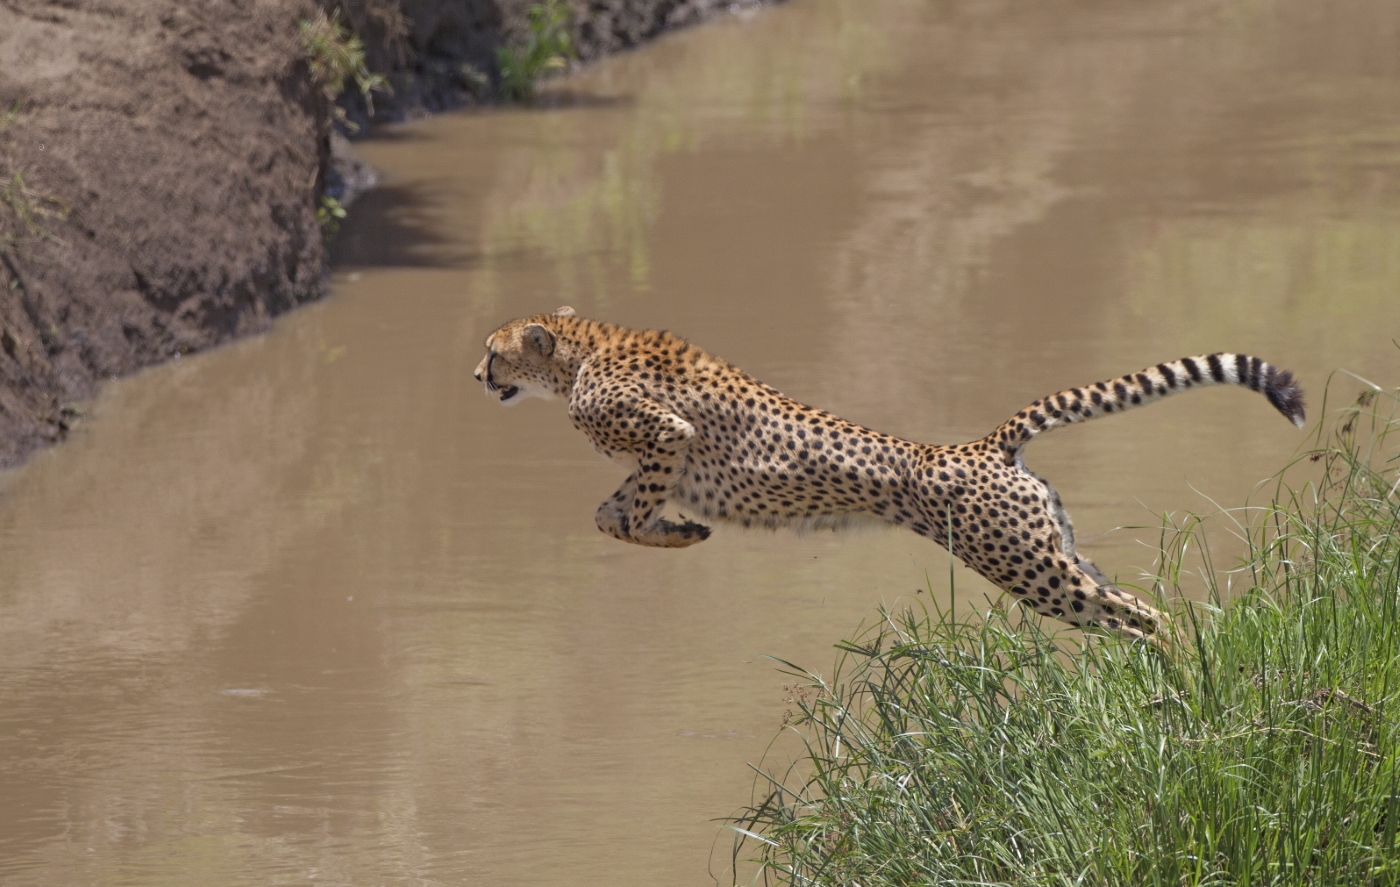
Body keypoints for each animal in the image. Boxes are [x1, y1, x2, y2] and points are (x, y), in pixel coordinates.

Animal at [474, 307, 1305, 642]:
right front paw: (682, 530)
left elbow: (619, 510)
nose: (475, 376)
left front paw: (676, 528)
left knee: (1139, 613)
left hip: (1024, 566)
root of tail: (980, 445)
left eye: (492, 350)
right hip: (1052, 548)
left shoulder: (666, 435)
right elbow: (612, 512)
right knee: (1129, 603)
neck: (581, 350)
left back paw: (1176, 672)